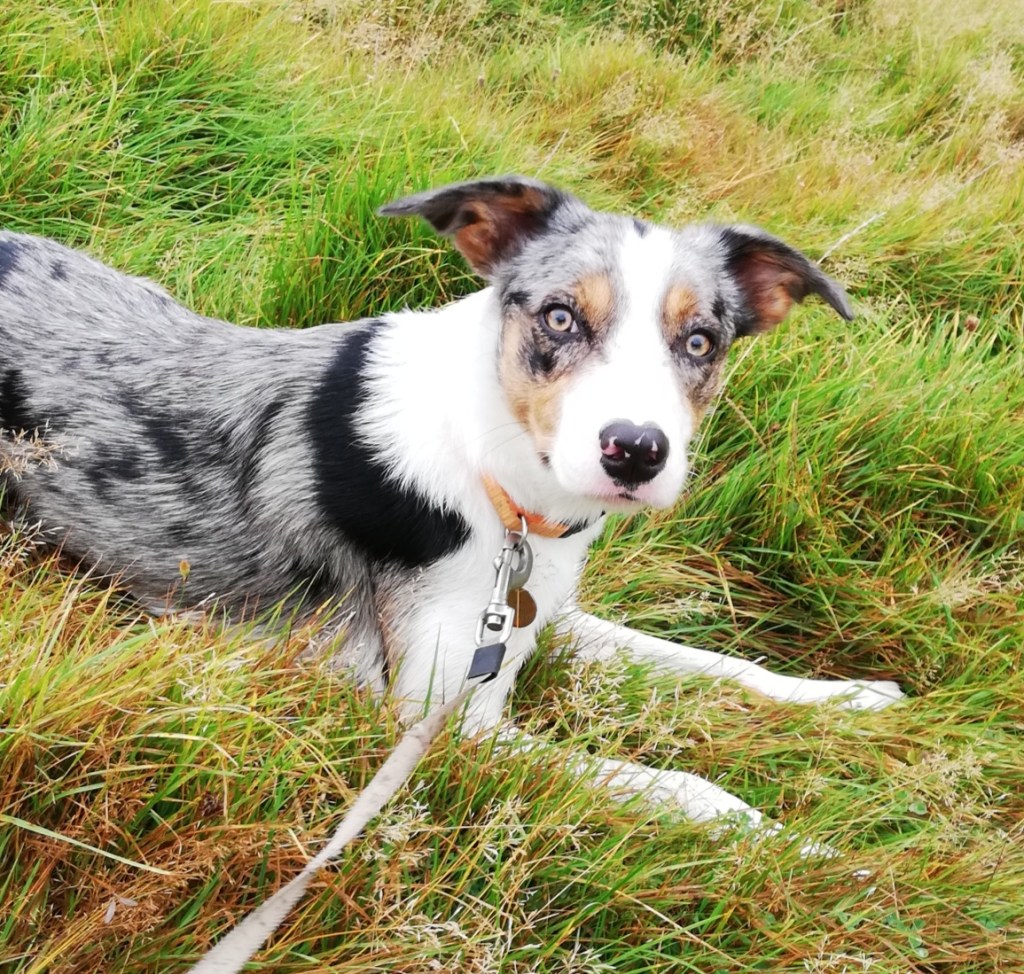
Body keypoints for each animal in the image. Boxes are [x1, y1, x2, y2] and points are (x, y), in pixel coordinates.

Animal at [0, 176, 903, 833]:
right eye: (560, 316)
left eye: (701, 343)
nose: (636, 450)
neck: (497, 482)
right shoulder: (445, 723)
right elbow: (678, 788)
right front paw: (798, 845)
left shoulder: (538, 611)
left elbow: (709, 660)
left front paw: (842, 698)